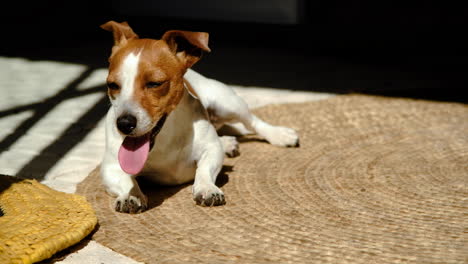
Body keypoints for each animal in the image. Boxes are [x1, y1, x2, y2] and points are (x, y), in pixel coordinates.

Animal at [99, 21, 300, 213]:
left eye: (154, 83)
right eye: (112, 85)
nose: (124, 124)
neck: (164, 138)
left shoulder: (211, 150)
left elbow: (204, 169)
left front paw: (206, 188)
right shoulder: (111, 167)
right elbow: (126, 181)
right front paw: (131, 195)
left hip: (228, 103)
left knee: (252, 122)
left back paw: (279, 135)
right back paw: (228, 142)